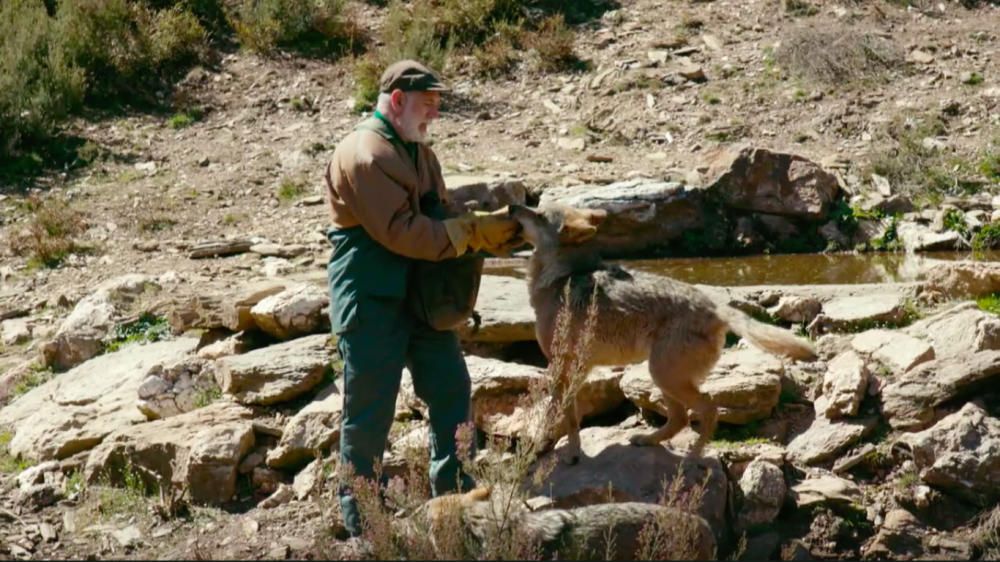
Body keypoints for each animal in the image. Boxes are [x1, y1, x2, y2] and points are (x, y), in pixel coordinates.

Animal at [504, 203, 816, 462]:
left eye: (539, 213)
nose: (512, 207)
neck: (561, 277)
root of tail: (716, 307)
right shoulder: (578, 369)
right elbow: (572, 417)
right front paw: (569, 450)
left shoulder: (561, 367)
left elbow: (560, 416)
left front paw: (557, 453)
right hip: (662, 378)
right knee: (680, 419)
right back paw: (647, 440)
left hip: (663, 375)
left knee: (707, 409)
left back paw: (693, 457)